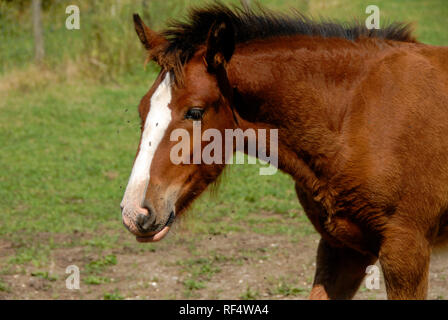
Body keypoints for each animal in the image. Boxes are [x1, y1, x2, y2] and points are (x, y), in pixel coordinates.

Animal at [119, 3, 448, 300]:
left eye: (195, 112)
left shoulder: (405, 251)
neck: (355, 115)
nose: (135, 212)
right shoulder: (342, 247)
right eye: (141, 109)